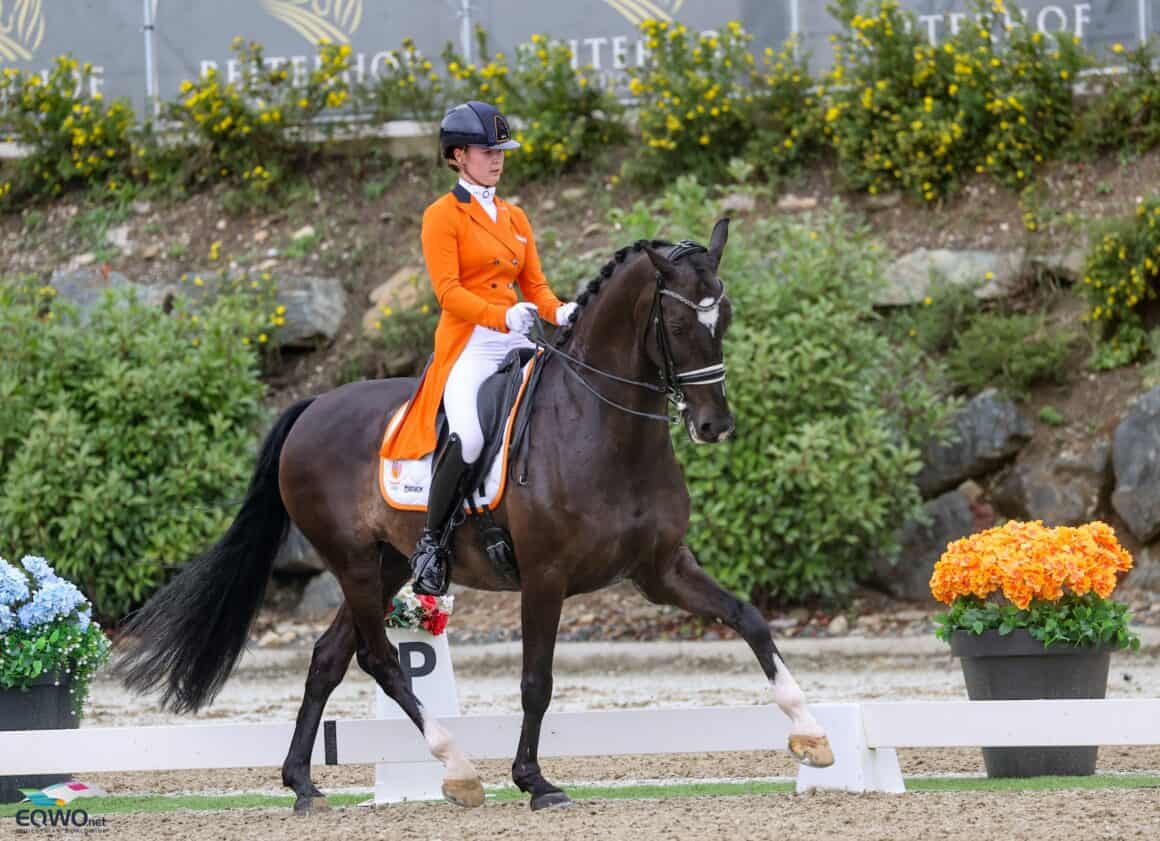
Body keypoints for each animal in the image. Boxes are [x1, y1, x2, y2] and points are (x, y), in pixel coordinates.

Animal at [117, 218, 839, 812]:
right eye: (683, 324)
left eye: (727, 319)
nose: (715, 425)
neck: (601, 426)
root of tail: (313, 405)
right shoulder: (545, 576)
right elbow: (536, 680)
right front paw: (535, 781)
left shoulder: (661, 568)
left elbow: (748, 618)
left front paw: (812, 734)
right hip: (355, 561)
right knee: (379, 658)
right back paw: (457, 769)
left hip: (384, 564)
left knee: (327, 656)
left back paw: (302, 784)